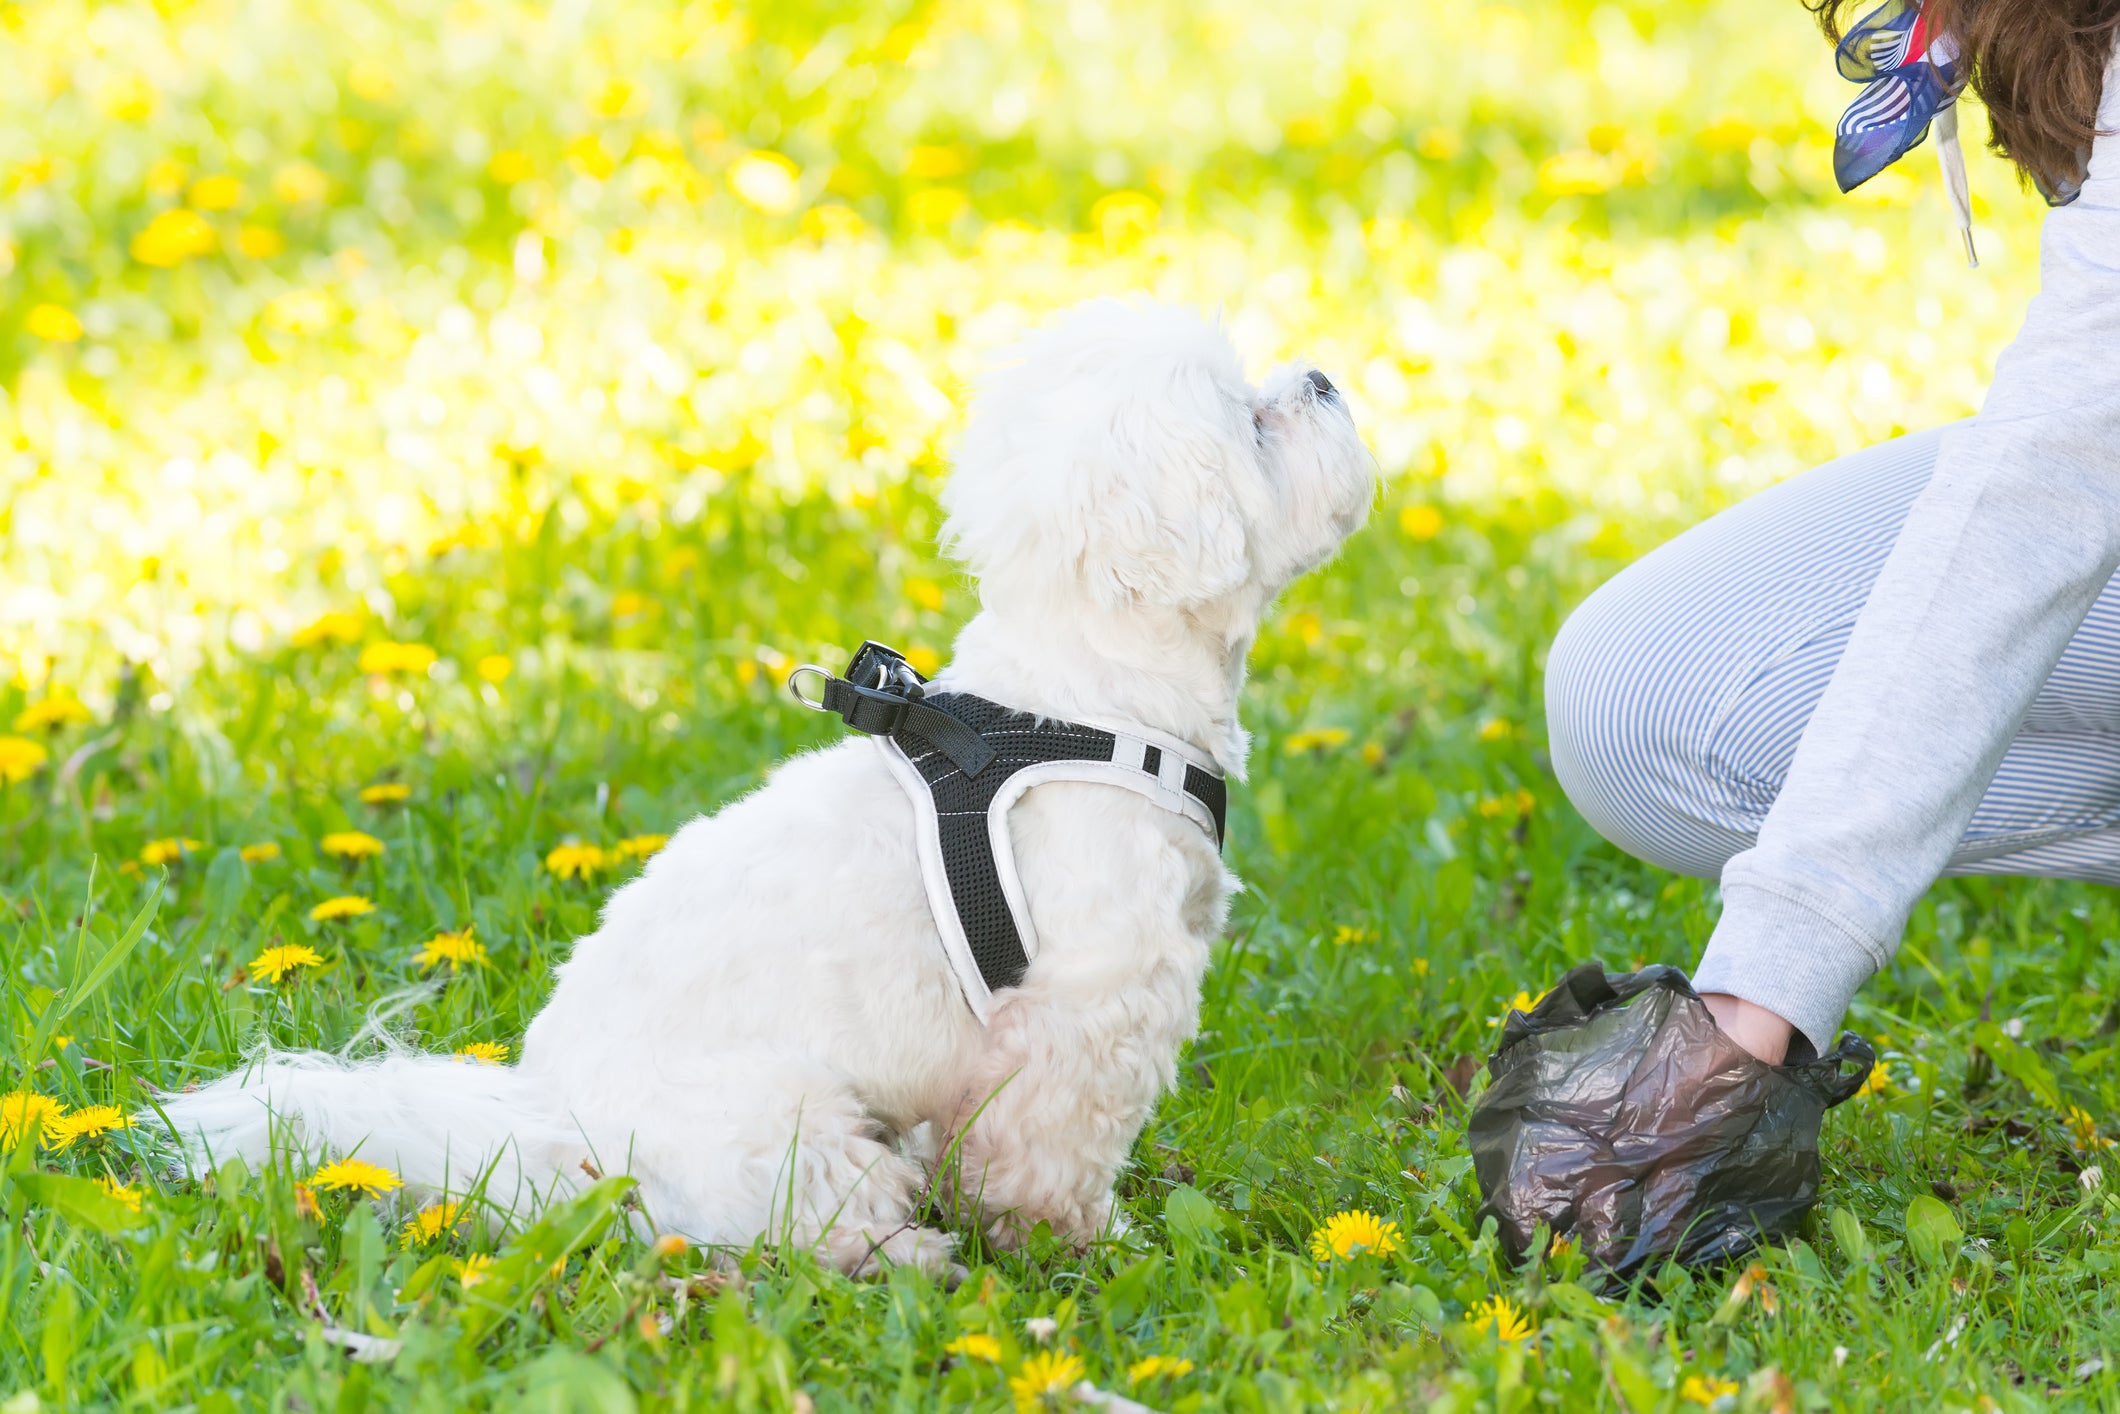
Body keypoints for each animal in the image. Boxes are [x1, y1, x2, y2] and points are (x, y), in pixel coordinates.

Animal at [156, 296, 1365, 1271]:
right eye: (1250, 422)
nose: (1321, 375)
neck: (1092, 701)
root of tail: (558, 1137)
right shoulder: (1083, 1013)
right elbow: (1048, 1156)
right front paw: (1080, 1241)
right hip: (784, 1128)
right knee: (804, 1220)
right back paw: (906, 1253)